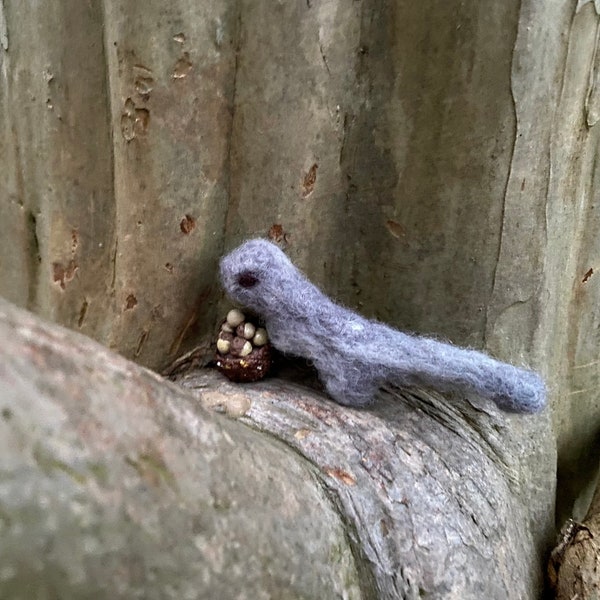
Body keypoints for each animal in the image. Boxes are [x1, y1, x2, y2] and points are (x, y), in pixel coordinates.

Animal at [221, 239, 548, 412]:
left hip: (349, 372)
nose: (222, 267)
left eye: (245, 279)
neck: (293, 299)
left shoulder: (288, 330)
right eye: (237, 252)